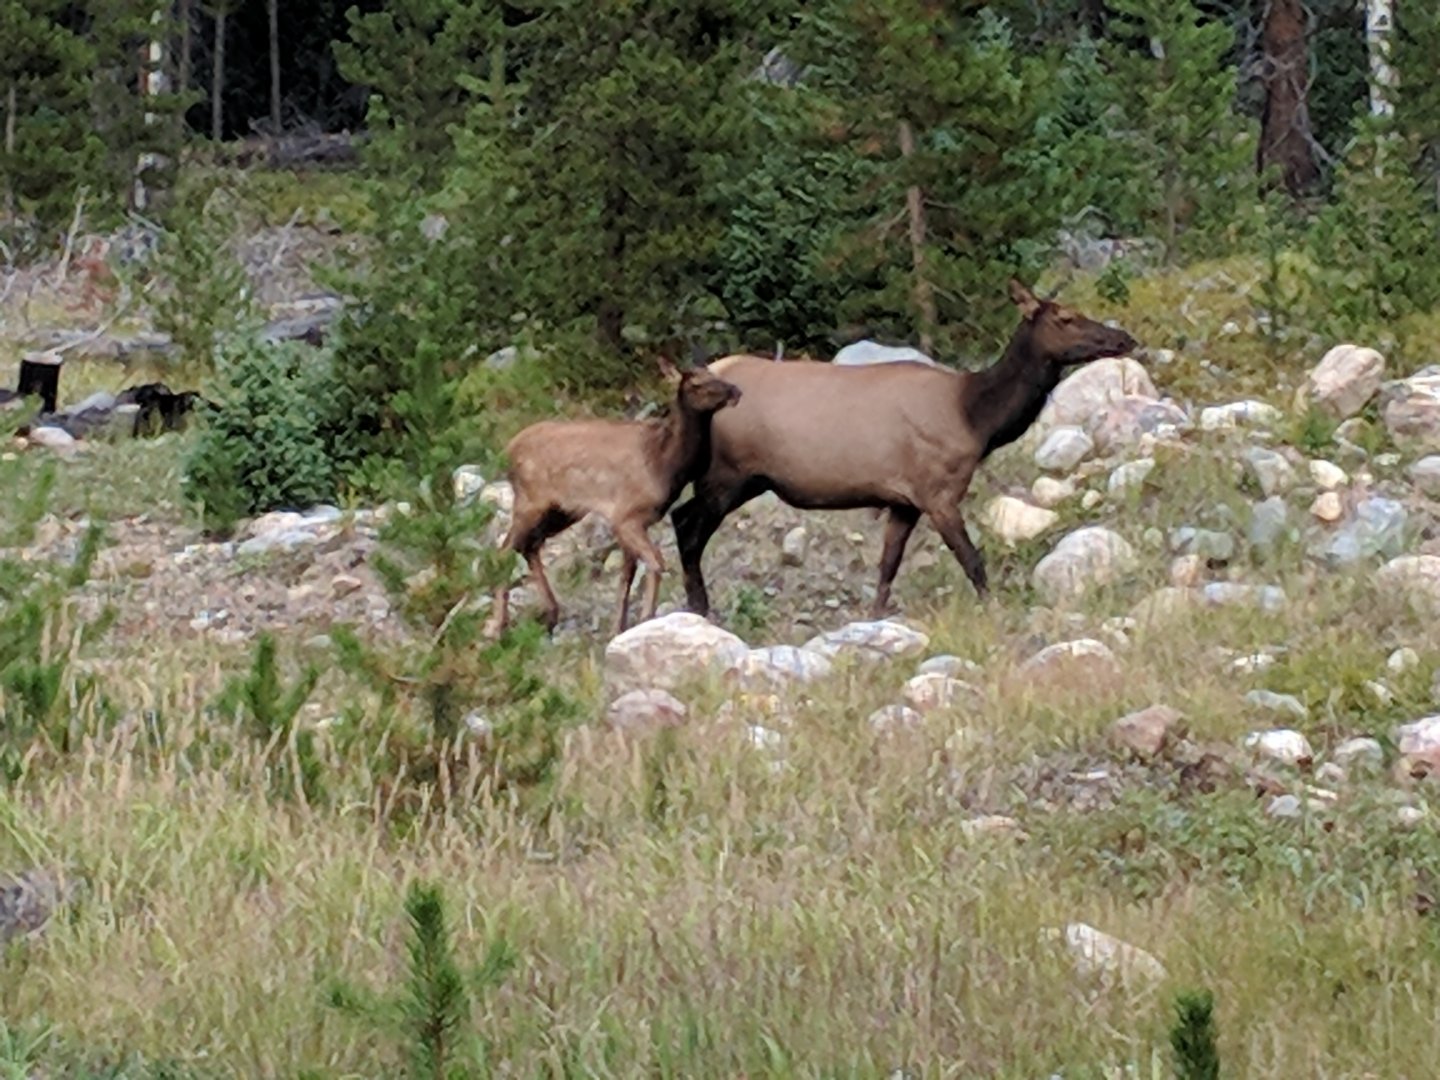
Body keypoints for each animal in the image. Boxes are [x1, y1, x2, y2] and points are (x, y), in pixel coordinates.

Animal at [490, 358, 743, 638]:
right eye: (697, 383)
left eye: (714, 374)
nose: (735, 391)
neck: (665, 464)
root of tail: (507, 450)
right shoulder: (626, 516)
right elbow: (656, 563)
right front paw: (645, 618)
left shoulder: (629, 523)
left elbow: (626, 578)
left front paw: (617, 629)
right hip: (530, 501)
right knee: (504, 550)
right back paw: (497, 626)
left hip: (563, 511)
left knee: (529, 546)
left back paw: (551, 614)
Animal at [669, 278, 1140, 621]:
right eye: (1066, 317)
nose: (1125, 338)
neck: (977, 419)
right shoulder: (938, 490)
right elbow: (972, 561)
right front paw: (994, 611)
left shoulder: (904, 501)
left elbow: (887, 567)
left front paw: (874, 620)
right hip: (726, 474)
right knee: (687, 526)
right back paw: (700, 608)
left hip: (748, 479)